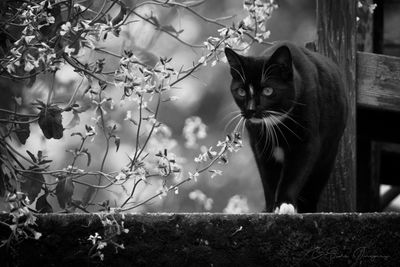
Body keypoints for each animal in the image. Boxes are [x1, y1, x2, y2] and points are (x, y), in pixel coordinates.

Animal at [225, 42, 346, 214]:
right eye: (241, 91)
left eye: (268, 91)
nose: (251, 109)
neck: (276, 124)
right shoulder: (259, 145)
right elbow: (268, 178)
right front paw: (270, 208)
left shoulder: (306, 141)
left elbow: (294, 173)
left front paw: (284, 204)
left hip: (328, 153)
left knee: (314, 183)